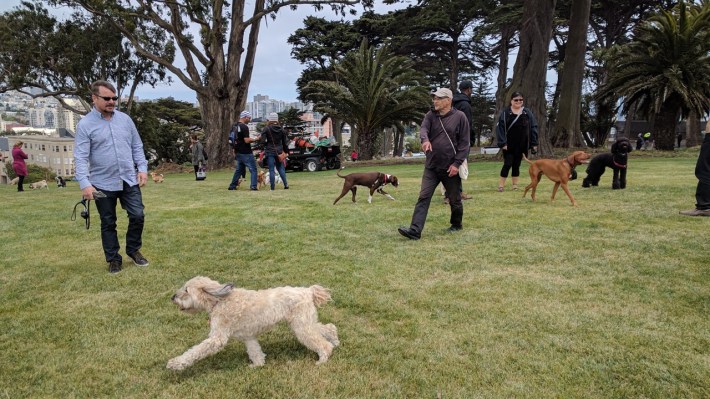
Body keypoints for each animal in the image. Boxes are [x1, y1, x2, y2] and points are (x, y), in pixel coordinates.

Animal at [167, 276, 340, 372]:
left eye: (186, 290)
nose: (172, 297)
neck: (219, 300)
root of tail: (308, 291)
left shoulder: (217, 338)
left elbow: (195, 351)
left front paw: (175, 363)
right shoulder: (248, 336)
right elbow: (255, 351)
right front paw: (257, 366)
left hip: (301, 327)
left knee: (322, 343)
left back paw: (323, 359)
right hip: (305, 322)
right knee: (328, 328)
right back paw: (335, 340)